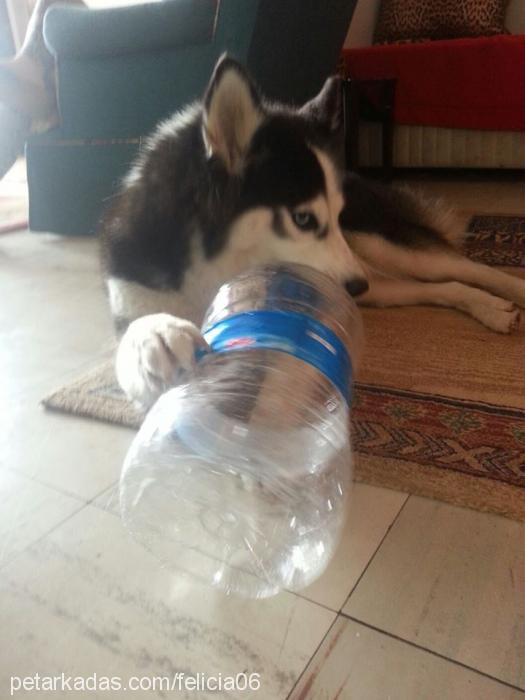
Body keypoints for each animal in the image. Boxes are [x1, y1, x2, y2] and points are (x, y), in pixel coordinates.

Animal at [99, 56, 524, 410]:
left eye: (336, 214)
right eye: (303, 219)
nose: (357, 285)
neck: (210, 263)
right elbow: (130, 343)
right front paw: (156, 334)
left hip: (378, 249)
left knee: (464, 268)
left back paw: (505, 296)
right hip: (370, 282)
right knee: (438, 288)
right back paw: (489, 308)